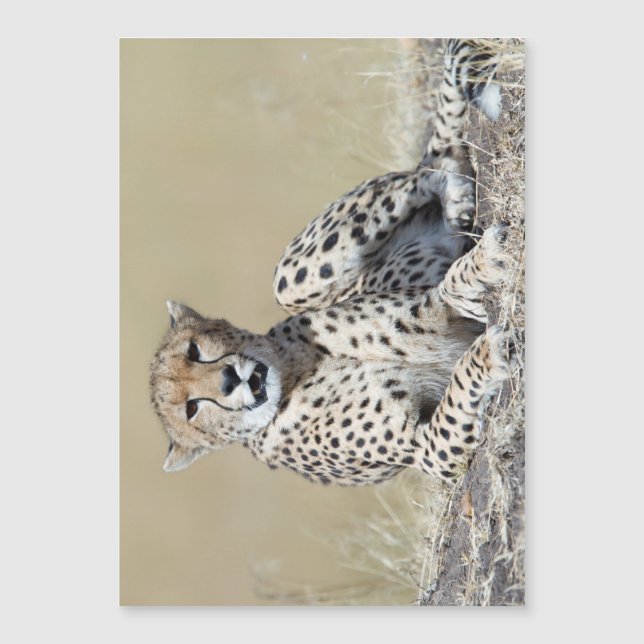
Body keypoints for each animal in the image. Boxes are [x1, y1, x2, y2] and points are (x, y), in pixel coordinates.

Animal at [150, 39, 517, 487]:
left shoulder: (422, 306)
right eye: (190, 409)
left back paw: (452, 191)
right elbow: (456, 394)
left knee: (425, 169)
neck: (293, 374)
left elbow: (447, 288)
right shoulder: (428, 452)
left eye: (195, 350)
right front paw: (489, 352)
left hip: (294, 279)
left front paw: (483, 264)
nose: (228, 378)